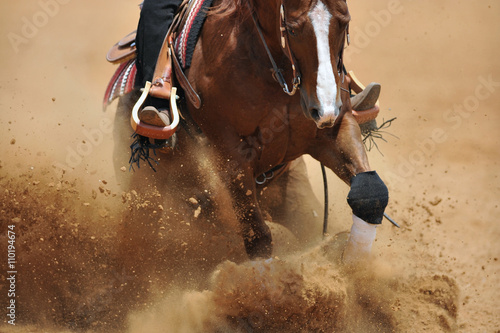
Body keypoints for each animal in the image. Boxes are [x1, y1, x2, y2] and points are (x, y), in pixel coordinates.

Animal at [114, 0, 390, 260]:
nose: (324, 109)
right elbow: (258, 236)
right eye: (292, 29)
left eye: (344, 23)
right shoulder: (231, 154)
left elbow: (371, 192)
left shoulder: (334, 130)